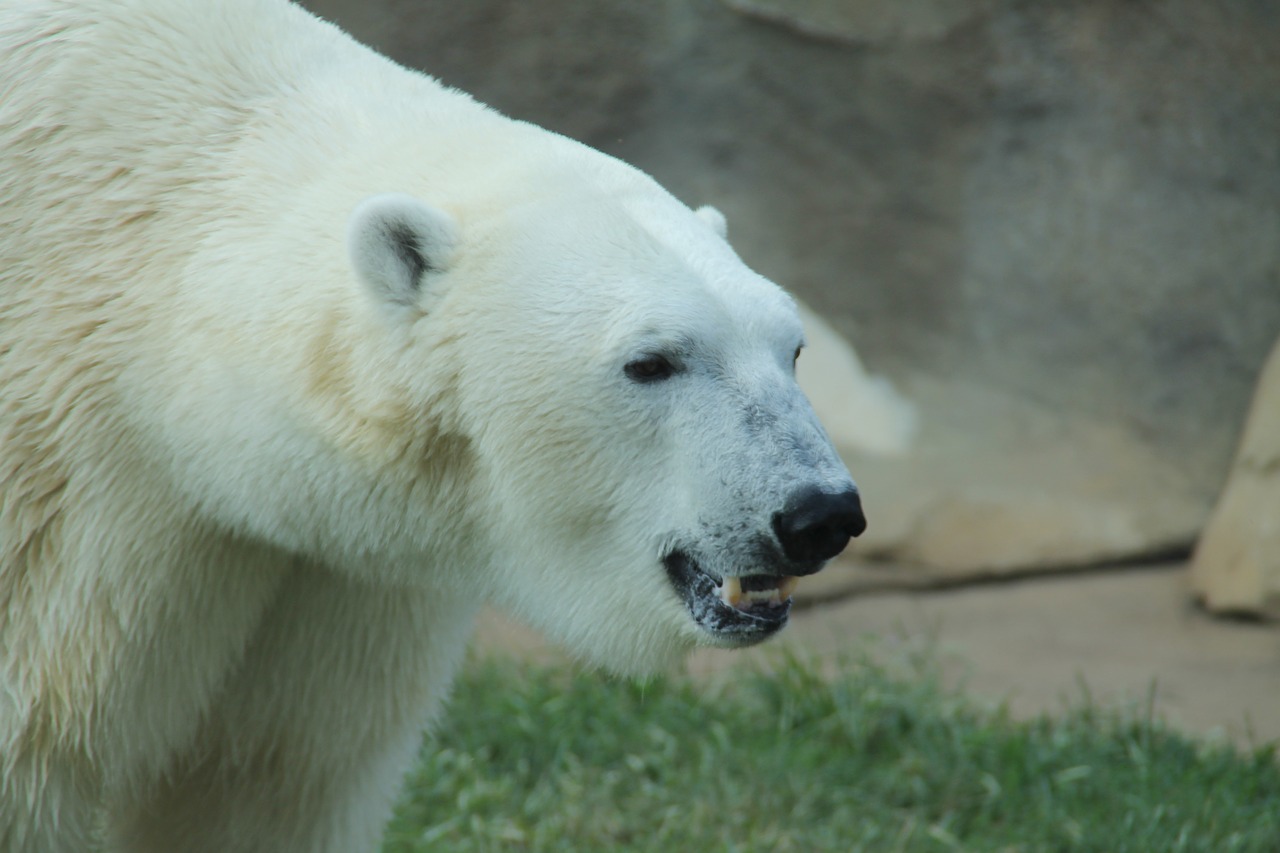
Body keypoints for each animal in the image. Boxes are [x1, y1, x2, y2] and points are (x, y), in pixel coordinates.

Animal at [0, 1, 865, 850]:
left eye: (791, 347)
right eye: (652, 361)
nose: (819, 513)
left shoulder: (336, 577)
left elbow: (265, 782)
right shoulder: (67, 516)